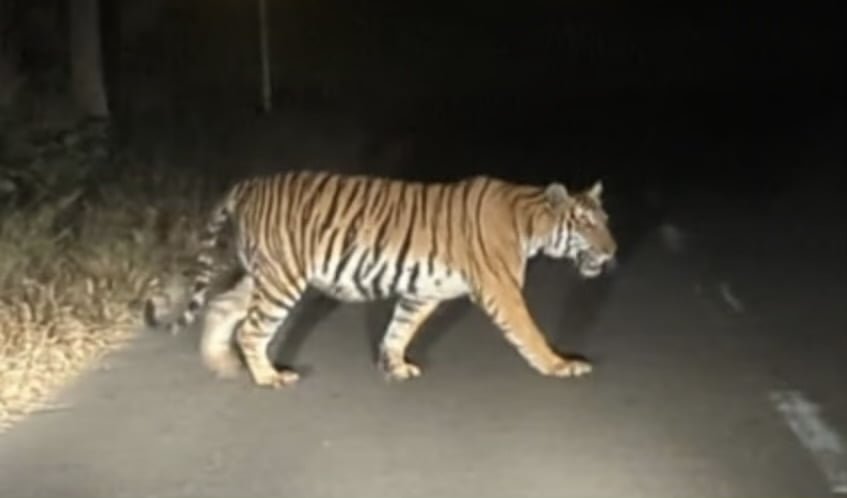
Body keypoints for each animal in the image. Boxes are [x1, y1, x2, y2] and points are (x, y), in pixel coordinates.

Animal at [144, 170, 617, 388]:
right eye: (587, 225)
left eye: (606, 221)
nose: (613, 251)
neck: (531, 220)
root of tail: (248, 183)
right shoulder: (503, 290)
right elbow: (530, 332)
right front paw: (560, 365)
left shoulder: (422, 292)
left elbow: (400, 329)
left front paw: (394, 365)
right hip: (282, 280)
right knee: (252, 329)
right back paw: (269, 377)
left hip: (263, 275)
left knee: (221, 305)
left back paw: (221, 364)